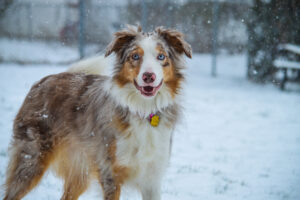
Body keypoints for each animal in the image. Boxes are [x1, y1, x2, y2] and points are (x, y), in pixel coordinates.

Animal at [3, 25, 192, 200]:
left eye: (161, 56)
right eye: (135, 56)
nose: (148, 77)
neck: (143, 110)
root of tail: (43, 81)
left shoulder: (152, 177)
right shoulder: (110, 175)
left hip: (79, 172)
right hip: (31, 161)